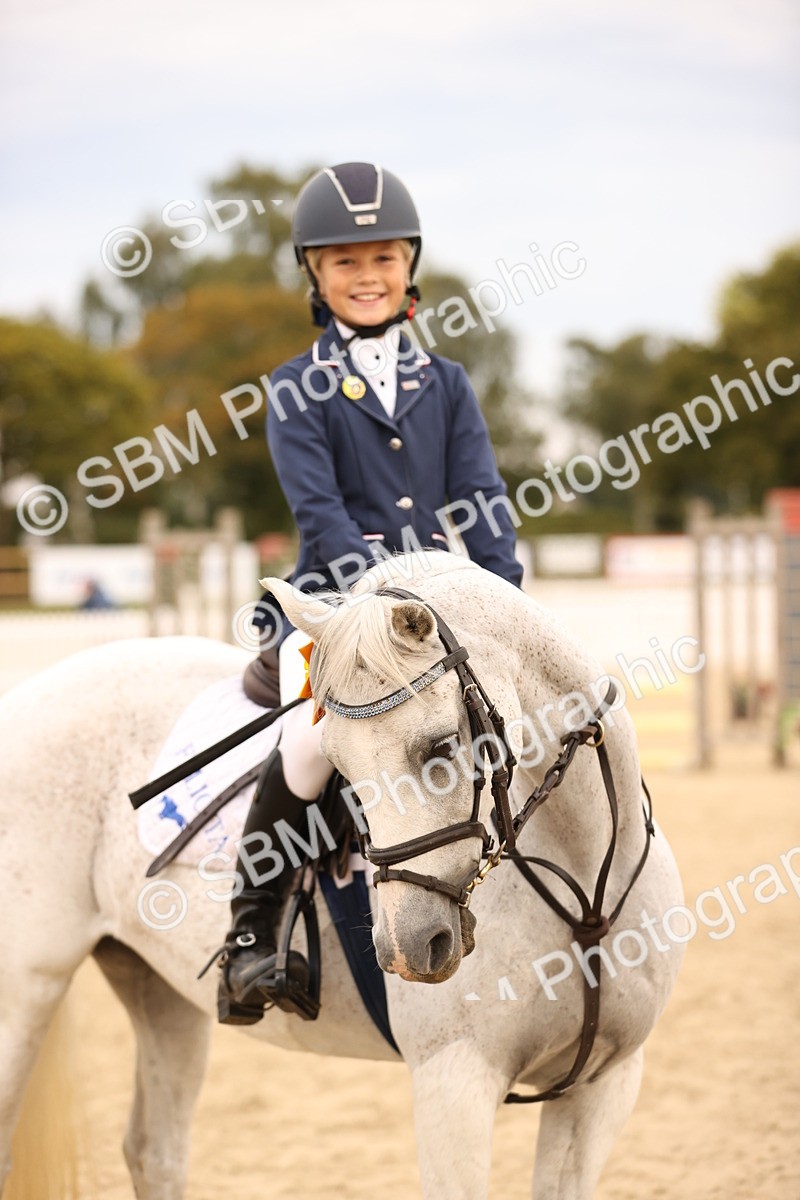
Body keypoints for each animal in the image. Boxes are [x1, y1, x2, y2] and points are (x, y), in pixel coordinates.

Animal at [0, 551, 684, 1199]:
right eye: (337, 765)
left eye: (442, 746)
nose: (407, 946)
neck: (585, 897)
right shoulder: (454, 1081)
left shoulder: (605, 1083)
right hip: (26, 990)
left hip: (156, 990)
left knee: (154, 1152)